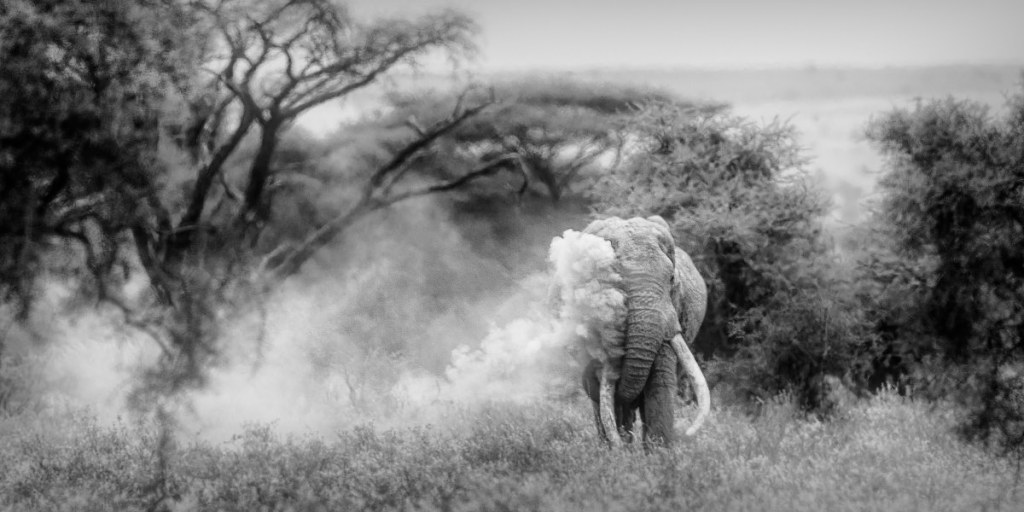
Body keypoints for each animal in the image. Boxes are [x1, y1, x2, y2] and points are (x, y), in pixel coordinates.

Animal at [573, 216, 708, 448]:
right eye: (613, 282)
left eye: (672, 279)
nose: (687, 433)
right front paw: (617, 451)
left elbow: (660, 383)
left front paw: (658, 454)